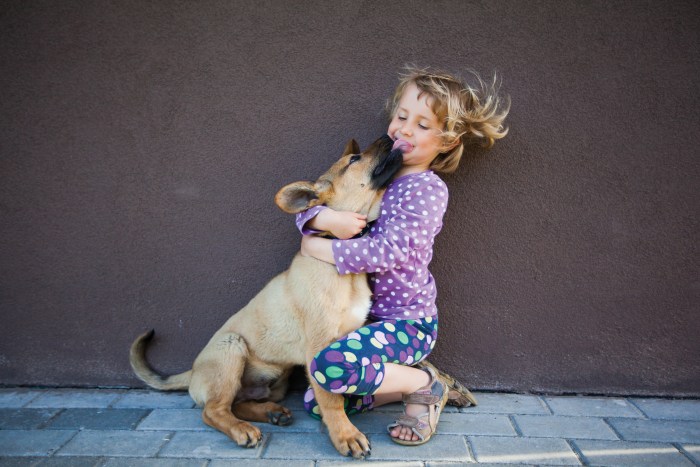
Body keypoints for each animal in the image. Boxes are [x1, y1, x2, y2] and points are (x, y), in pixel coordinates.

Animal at [130, 134, 404, 458]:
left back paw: (271, 413)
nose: (389, 136)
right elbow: (331, 399)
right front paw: (346, 435)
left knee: (237, 403)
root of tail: (194, 371)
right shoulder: (320, 347)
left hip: (276, 382)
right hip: (231, 347)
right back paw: (242, 430)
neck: (338, 250)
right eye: (354, 160)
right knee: (213, 410)